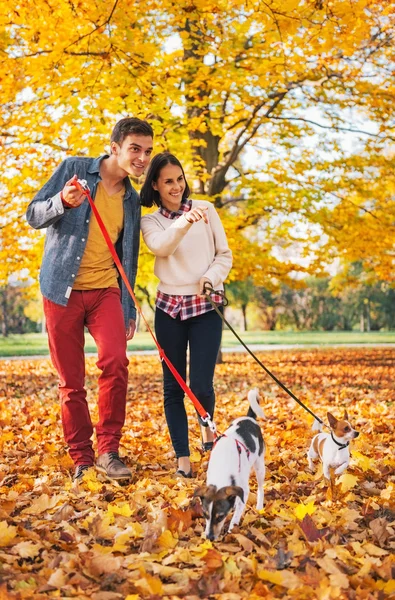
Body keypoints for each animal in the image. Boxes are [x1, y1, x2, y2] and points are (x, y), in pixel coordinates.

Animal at [195, 392, 266, 540]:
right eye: (205, 515)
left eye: (220, 517)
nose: (209, 537)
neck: (222, 467)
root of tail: (249, 418)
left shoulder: (243, 490)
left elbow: (237, 511)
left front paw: (232, 528)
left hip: (260, 466)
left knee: (261, 488)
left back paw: (259, 505)